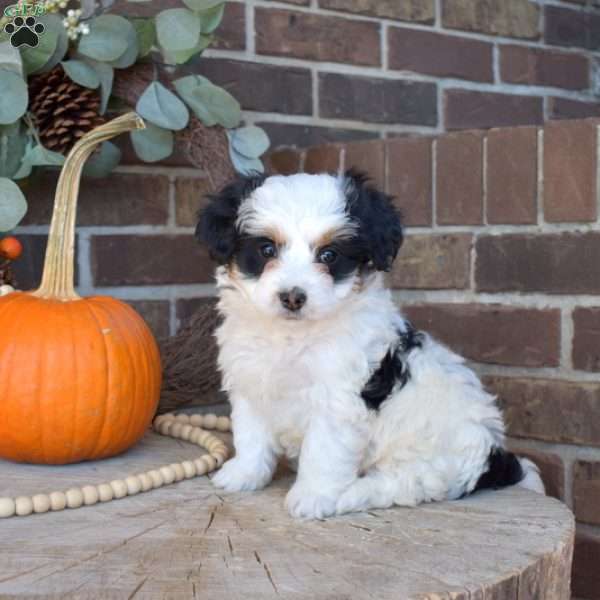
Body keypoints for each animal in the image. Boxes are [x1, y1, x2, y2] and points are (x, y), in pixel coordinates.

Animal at [197, 170, 544, 520]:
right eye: (266, 250)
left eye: (329, 255)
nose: (293, 297)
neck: (291, 336)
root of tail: (494, 456)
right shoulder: (250, 379)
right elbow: (251, 434)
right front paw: (244, 474)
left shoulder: (338, 397)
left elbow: (323, 451)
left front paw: (313, 496)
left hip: (435, 457)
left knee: (404, 485)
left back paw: (350, 494)